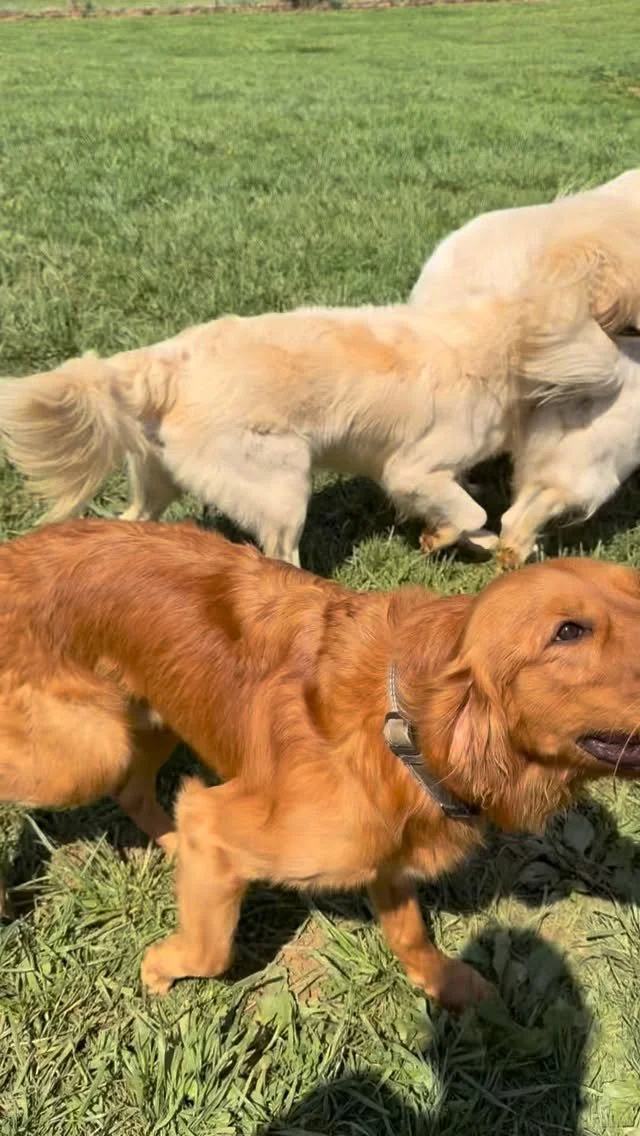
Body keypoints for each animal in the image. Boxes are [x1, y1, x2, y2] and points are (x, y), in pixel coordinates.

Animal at [0, 286, 620, 563]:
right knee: (279, 557)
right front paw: (446, 536)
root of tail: (162, 362)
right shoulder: (410, 469)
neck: (490, 339)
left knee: (132, 522)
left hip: (159, 483)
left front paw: (479, 542)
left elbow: (472, 517)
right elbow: (468, 510)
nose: (620, 361)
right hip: (283, 482)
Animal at [2, 519, 640, 1010]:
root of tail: (15, 555)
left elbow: (409, 931)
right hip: (90, 752)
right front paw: (160, 967)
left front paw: (445, 983)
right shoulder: (222, 819)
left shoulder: (384, 853)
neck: (404, 724)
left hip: (150, 719)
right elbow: (210, 951)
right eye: (568, 631)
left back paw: (174, 847)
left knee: (136, 791)